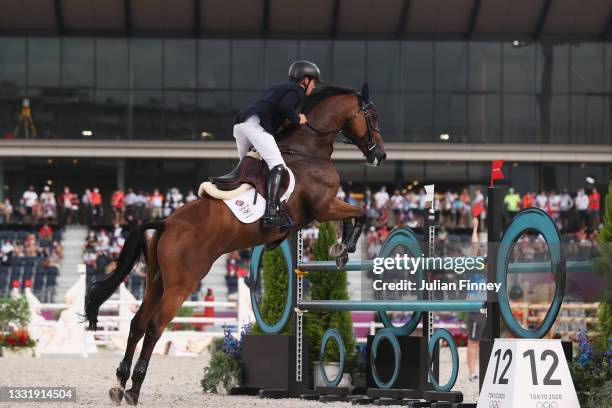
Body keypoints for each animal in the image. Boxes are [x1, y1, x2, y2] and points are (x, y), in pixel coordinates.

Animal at [83, 83, 384, 404]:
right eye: (373, 116)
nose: (381, 154)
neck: (308, 148)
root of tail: (166, 223)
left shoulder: (324, 207)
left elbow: (354, 214)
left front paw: (340, 248)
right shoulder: (323, 207)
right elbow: (361, 212)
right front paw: (343, 249)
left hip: (157, 282)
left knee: (137, 324)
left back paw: (119, 384)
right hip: (180, 285)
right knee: (154, 328)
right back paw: (134, 389)